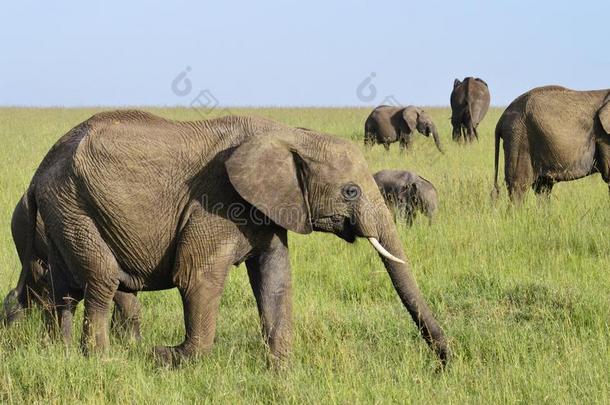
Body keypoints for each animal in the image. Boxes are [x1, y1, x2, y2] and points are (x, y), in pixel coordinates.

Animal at [21, 109, 448, 366]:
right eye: (351, 191)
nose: (445, 361)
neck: (287, 134)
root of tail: (41, 168)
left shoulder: (268, 206)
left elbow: (275, 278)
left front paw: (281, 370)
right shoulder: (215, 201)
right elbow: (198, 276)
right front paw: (168, 357)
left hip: (65, 209)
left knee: (63, 288)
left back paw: (63, 353)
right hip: (73, 204)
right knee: (102, 279)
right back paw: (101, 359)